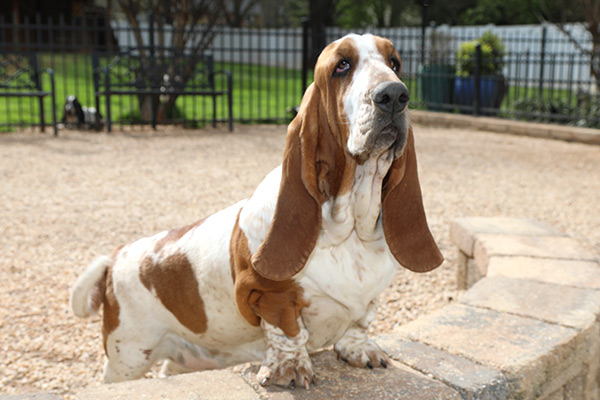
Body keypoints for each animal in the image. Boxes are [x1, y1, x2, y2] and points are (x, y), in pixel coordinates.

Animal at [71, 32, 446, 390]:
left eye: (395, 63)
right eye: (342, 65)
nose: (394, 95)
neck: (350, 227)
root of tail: (113, 258)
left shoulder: (370, 299)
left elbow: (361, 322)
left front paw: (359, 350)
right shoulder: (269, 296)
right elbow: (289, 332)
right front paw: (289, 369)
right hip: (129, 355)